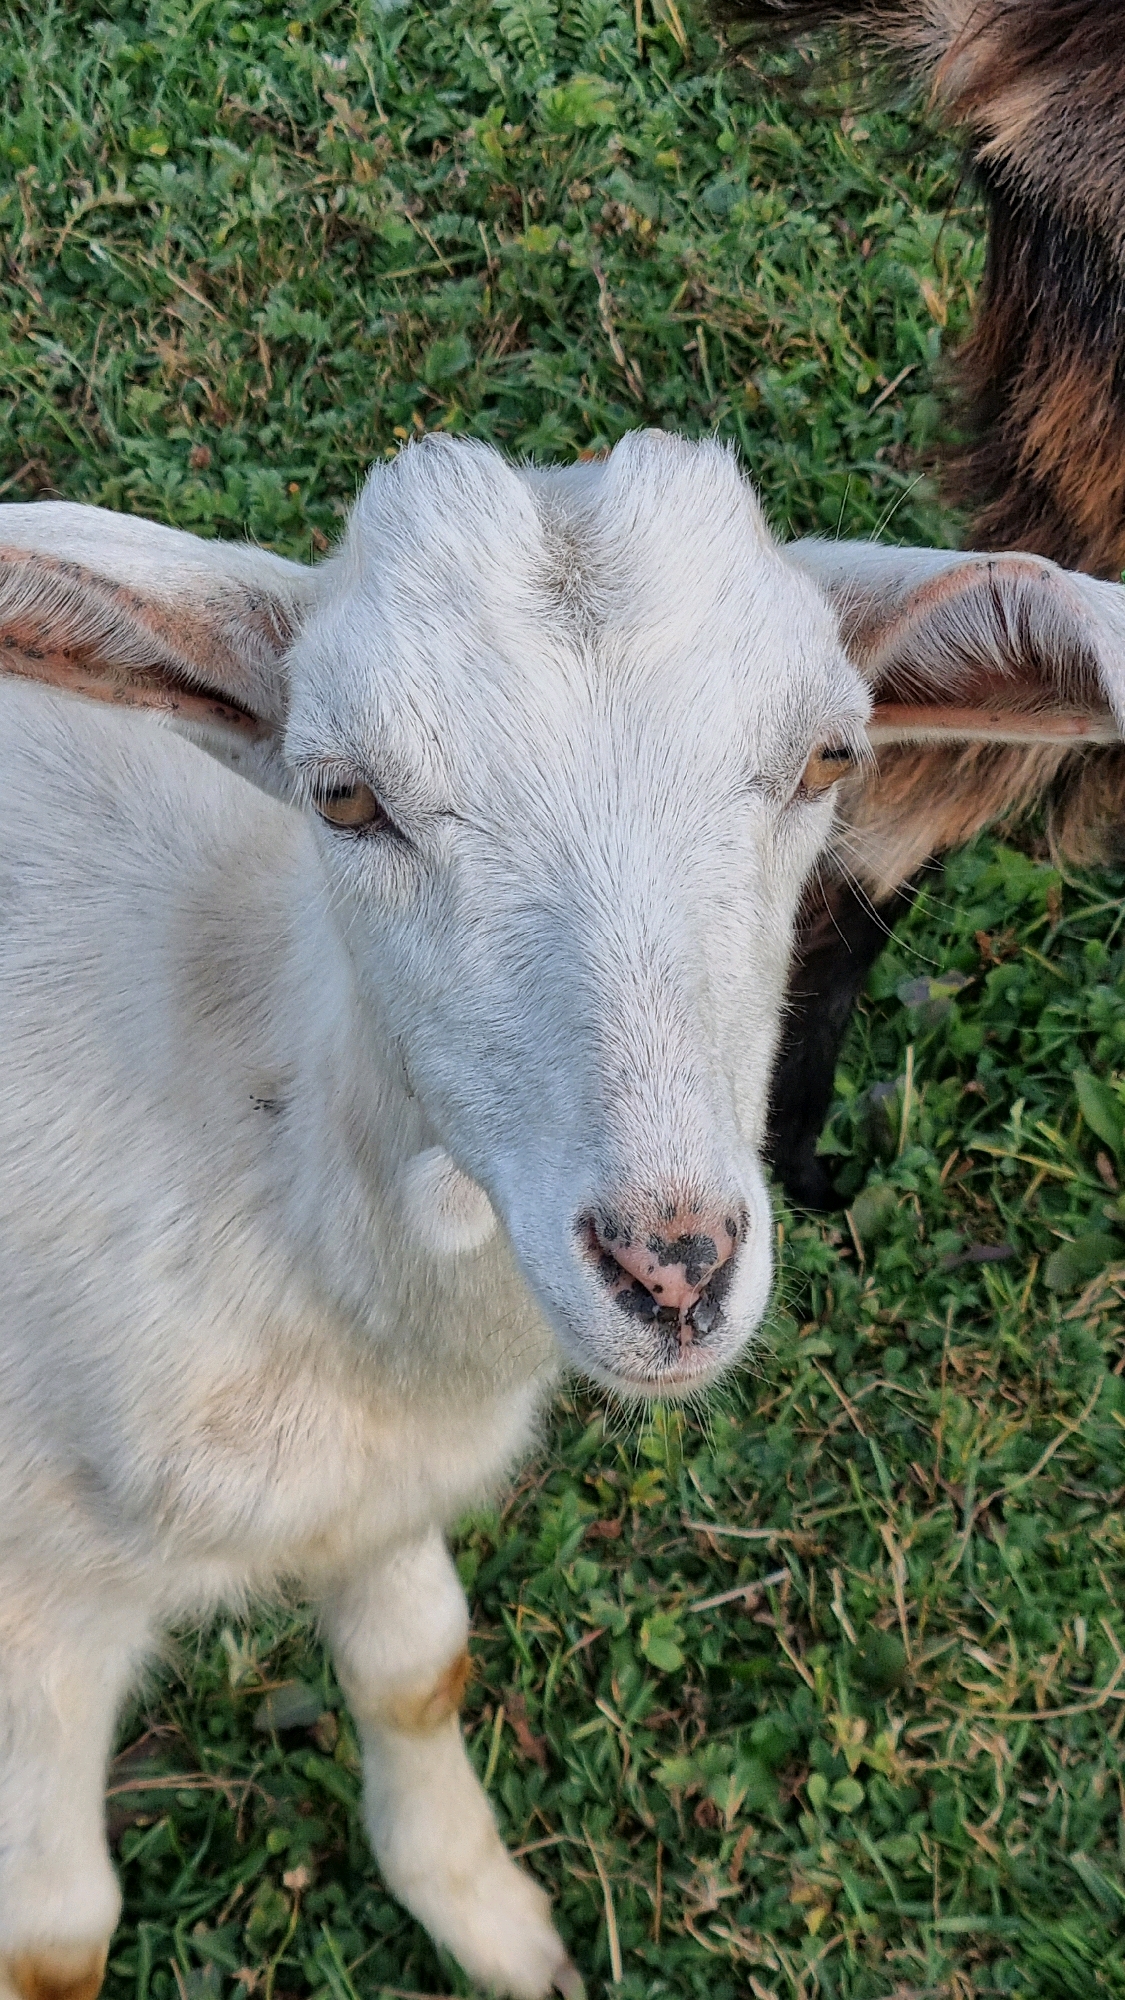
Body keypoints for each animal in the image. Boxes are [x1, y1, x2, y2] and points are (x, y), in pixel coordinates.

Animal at [1, 430, 1123, 2000]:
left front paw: (496, 1927)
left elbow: (419, 1668)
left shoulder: (386, 1482)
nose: (673, 1269)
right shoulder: (35, 1608)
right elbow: (53, 1932)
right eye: (344, 798)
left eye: (827, 758)